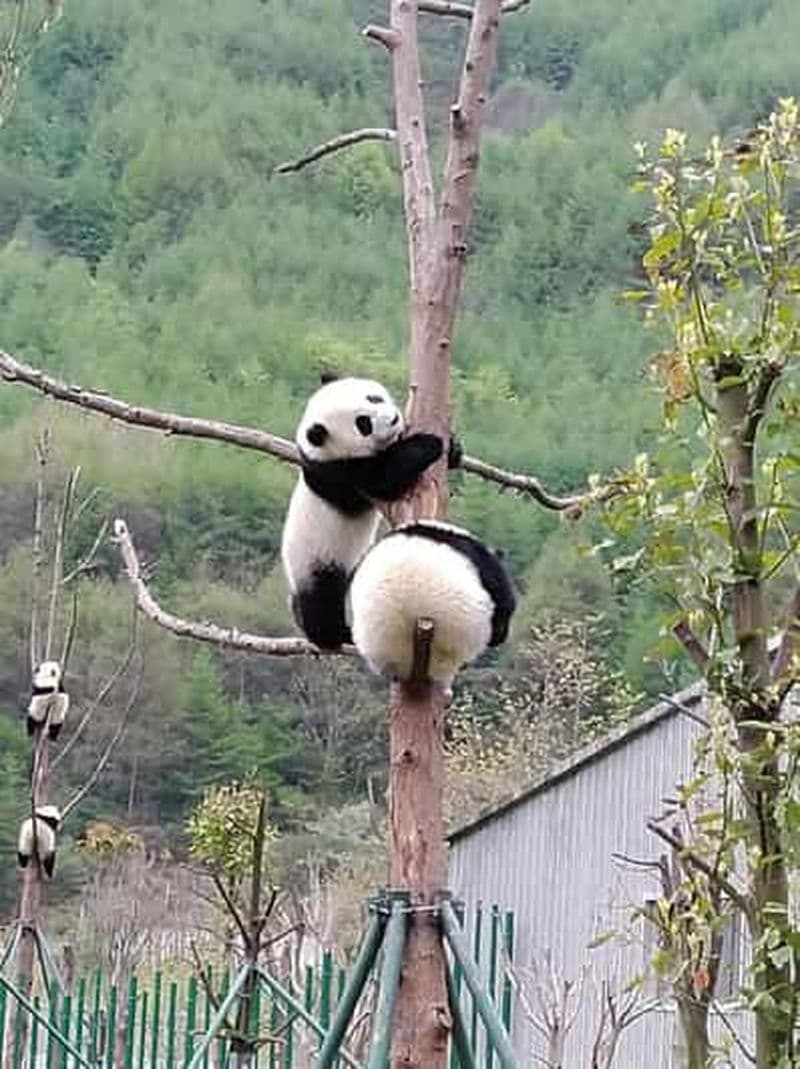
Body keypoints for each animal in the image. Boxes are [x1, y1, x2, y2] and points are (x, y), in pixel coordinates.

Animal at [281, 377, 446, 649]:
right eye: (363, 424)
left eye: (373, 398)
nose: (393, 419)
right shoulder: (342, 474)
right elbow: (385, 480)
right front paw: (429, 444)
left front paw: (454, 447)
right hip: (316, 562)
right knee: (321, 601)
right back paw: (335, 636)